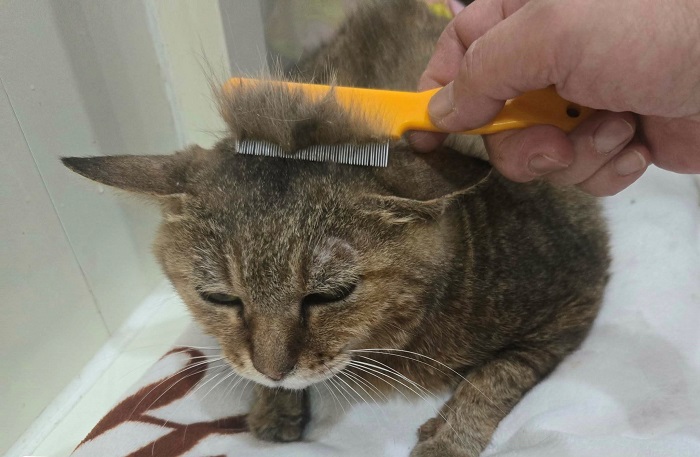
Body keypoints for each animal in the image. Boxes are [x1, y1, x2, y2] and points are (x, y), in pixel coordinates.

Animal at [62, 1, 610, 456]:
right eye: (219, 298)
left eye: (330, 295)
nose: (272, 370)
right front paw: (273, 404)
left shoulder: (574, 301)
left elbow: (496, 375)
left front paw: (449, 438)